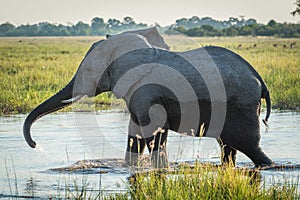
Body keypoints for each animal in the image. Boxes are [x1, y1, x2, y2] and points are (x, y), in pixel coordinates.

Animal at [22, 26, 274, 167]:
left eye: (87, 71)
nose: (35, 145)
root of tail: (260, 80)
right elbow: (137, 135)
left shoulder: (148, 93)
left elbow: (154, 133)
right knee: (228, 147)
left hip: (241, 106)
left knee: (248, 146)